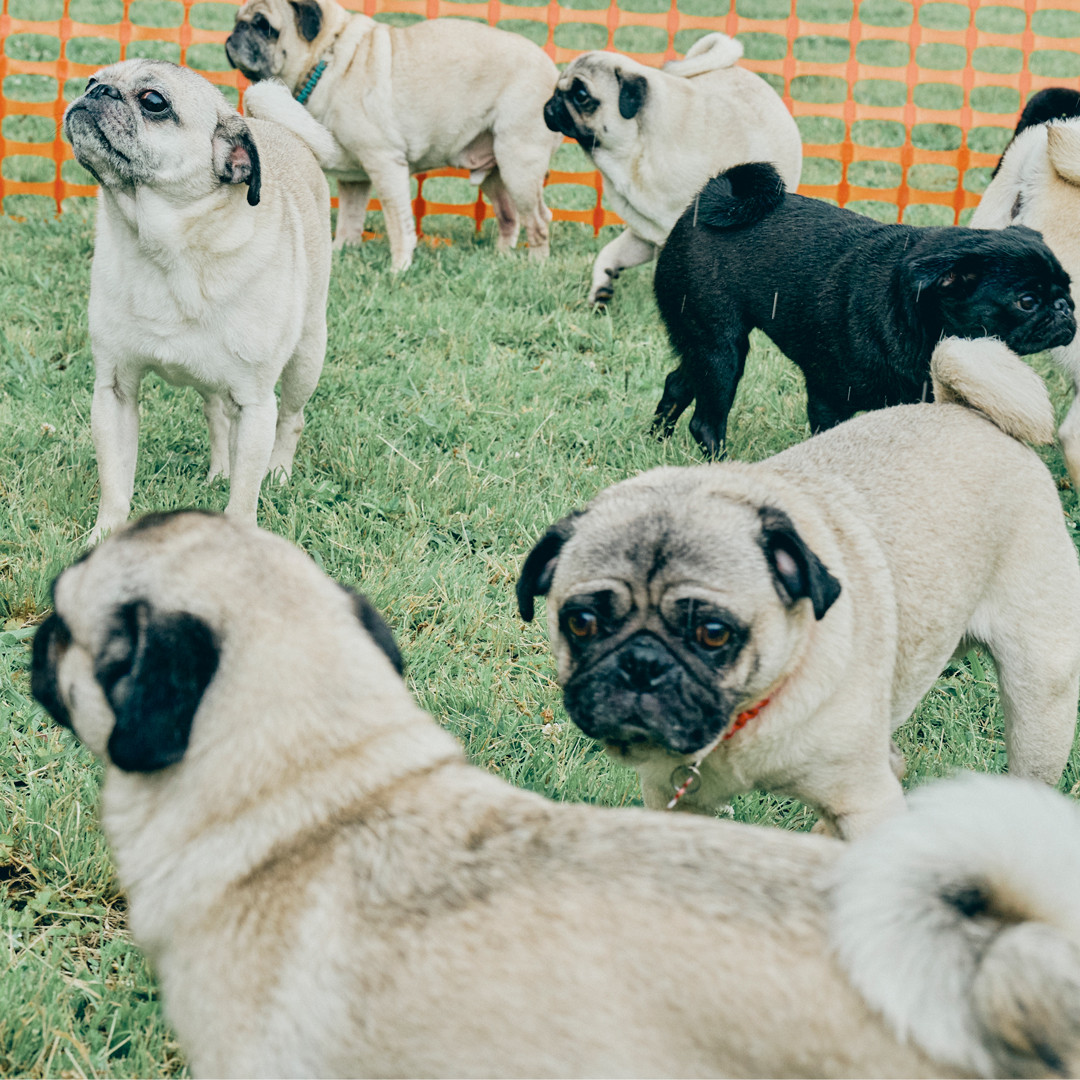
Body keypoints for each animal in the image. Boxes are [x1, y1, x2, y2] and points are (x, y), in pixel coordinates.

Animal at [65, 63, 330, 544]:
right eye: (92, 80)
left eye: (154, 101)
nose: (97, 91)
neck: (167, 251)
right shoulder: (114, 392)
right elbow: (115, 482)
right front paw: (105, 537)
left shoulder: (256, 406)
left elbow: (244, 496)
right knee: (217, 416)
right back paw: (219, 471)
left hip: (306, 358)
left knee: (292, 419)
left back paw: (279, 472)